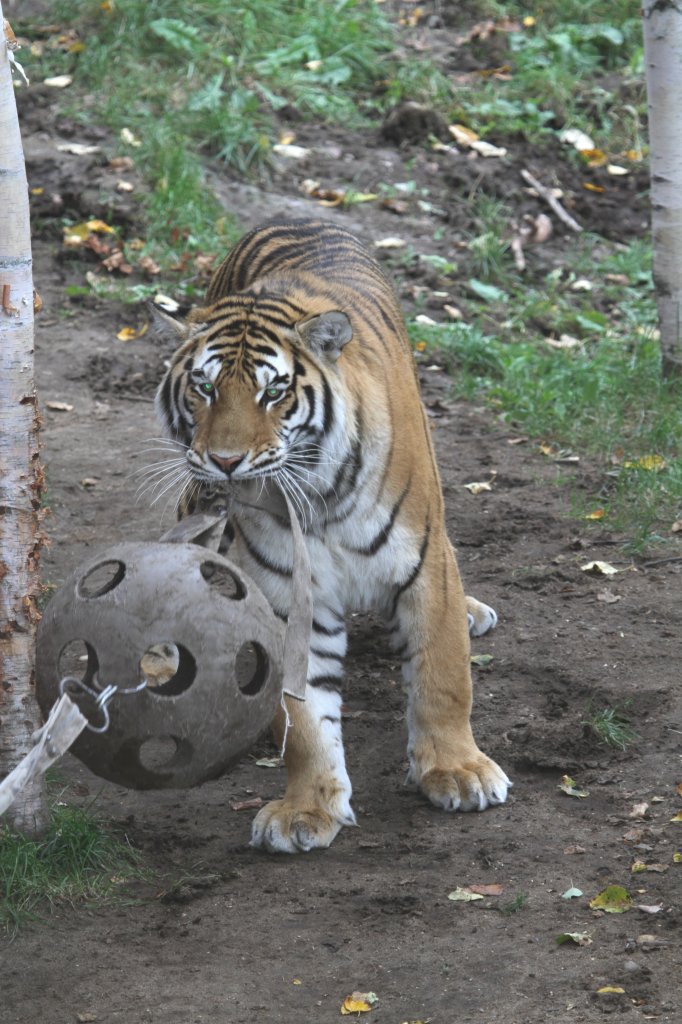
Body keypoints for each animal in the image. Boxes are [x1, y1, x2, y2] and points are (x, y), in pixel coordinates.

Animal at [151, 222, 507, 856]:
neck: (318, 498)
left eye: (273, 392)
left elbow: (443, 676)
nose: (225, 460)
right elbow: (301, 719)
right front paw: (306, 809)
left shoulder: (426, 566)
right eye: (203, 387)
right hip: (196, 493)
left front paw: (459, 773)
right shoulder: (292, 596)